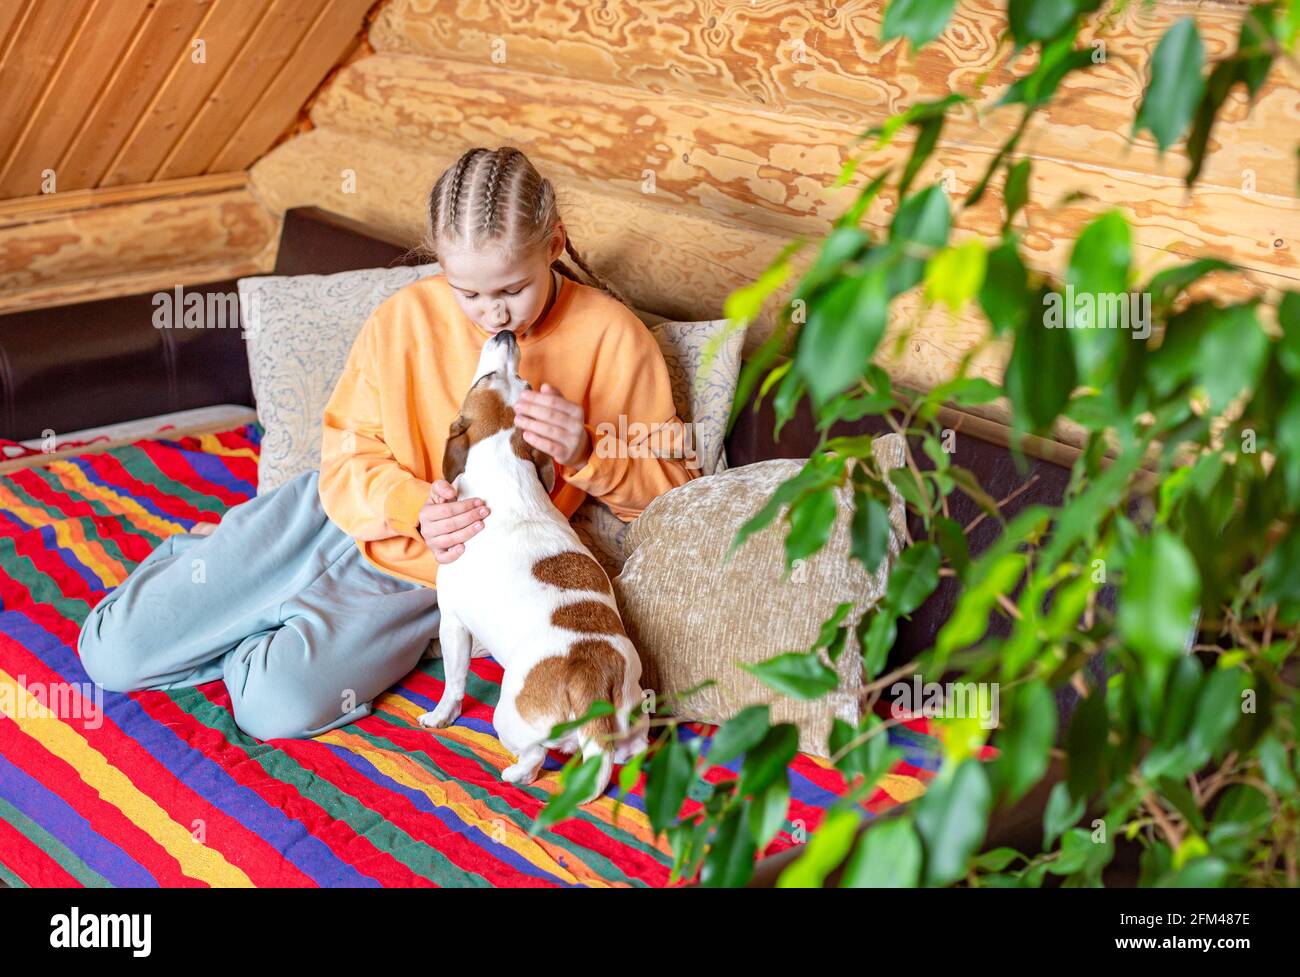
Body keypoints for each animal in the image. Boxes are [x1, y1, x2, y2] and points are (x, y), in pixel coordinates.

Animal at [418, 328, 650, 800]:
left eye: (484, 377)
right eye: (524, 384)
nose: (506, 334)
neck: (509, 470)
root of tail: (591, 678)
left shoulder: (453, 623)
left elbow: (453, 683)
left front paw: (440, 716)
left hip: (509, 718)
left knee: (535, 755)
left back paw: (516, 773)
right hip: (635, 717)